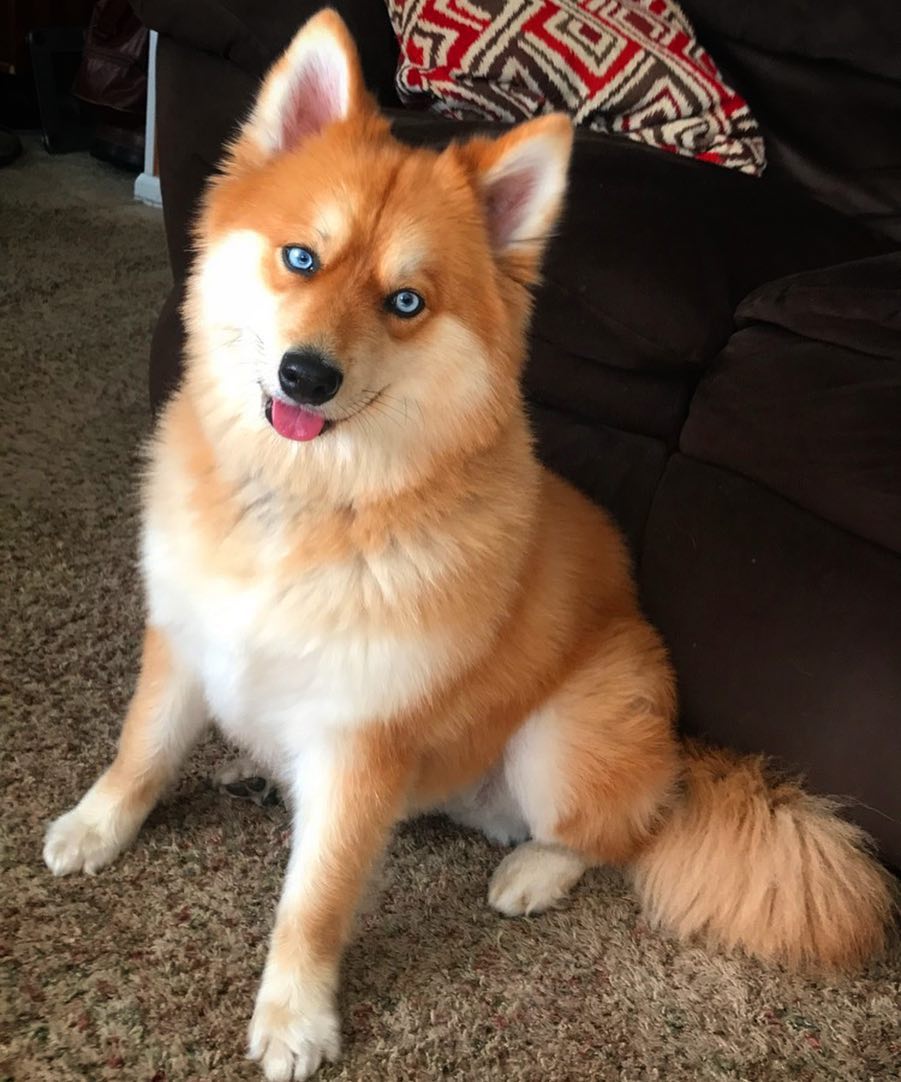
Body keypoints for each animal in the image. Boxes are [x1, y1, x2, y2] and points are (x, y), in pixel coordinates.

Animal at [43, 9, 892, 1081]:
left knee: (616, 831)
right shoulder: (187, 640)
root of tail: (680, 749)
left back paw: (532, 869)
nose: (307, 376)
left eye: (406, 302)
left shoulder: (363, 741)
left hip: (557, 743)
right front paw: (98, 826)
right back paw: (258, 765)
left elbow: (314, 900)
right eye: (300, 258)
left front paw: (294, 1015)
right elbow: (140, 751)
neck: (305, 503)